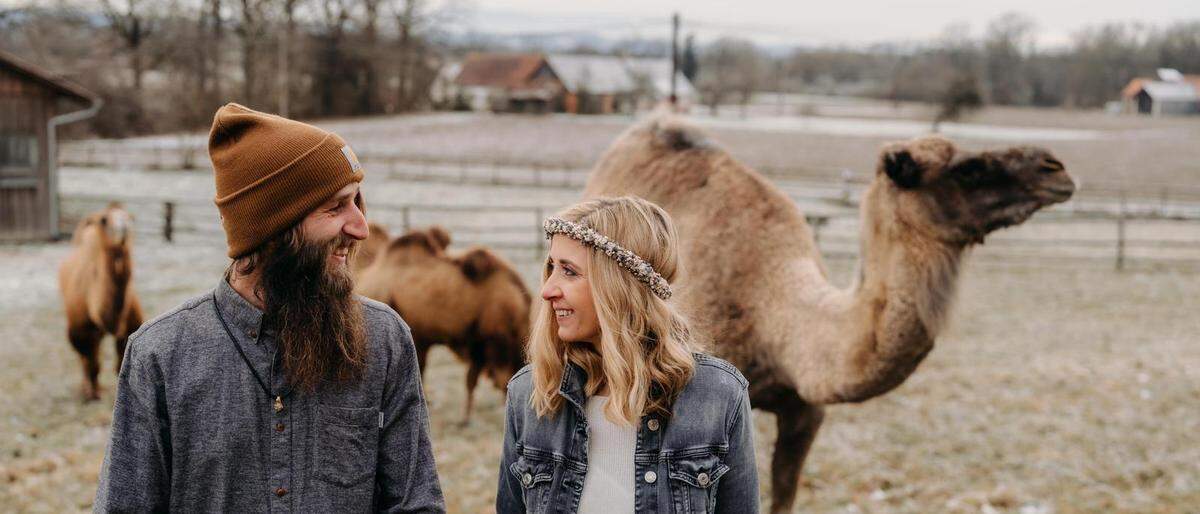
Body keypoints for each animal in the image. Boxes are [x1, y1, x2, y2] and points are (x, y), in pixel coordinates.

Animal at [57, 202, 144, 398]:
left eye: (129, 217)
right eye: (104, 220)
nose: (124, 227)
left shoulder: (129, 327)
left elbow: (119, 362)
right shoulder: (81, 330)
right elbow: (91, 363)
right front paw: (93, 393)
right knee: (85, 358)